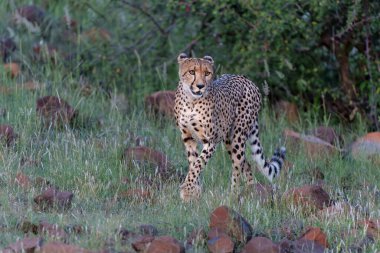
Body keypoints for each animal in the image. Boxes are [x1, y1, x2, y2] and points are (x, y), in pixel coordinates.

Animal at [173, 52, 284, 202]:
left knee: (238, 165)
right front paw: (195, 192)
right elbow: (193, 164)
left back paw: (233, 195)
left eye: (207, 73)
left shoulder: (211, 141)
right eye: (191, 72)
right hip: (228, 140)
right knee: (246, 164)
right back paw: (251, 191)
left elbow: (198, 164)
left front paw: (187, 190)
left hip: (237, 137)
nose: (200, 86)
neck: (191, 101)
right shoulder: (188, 138)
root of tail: (247, 80)